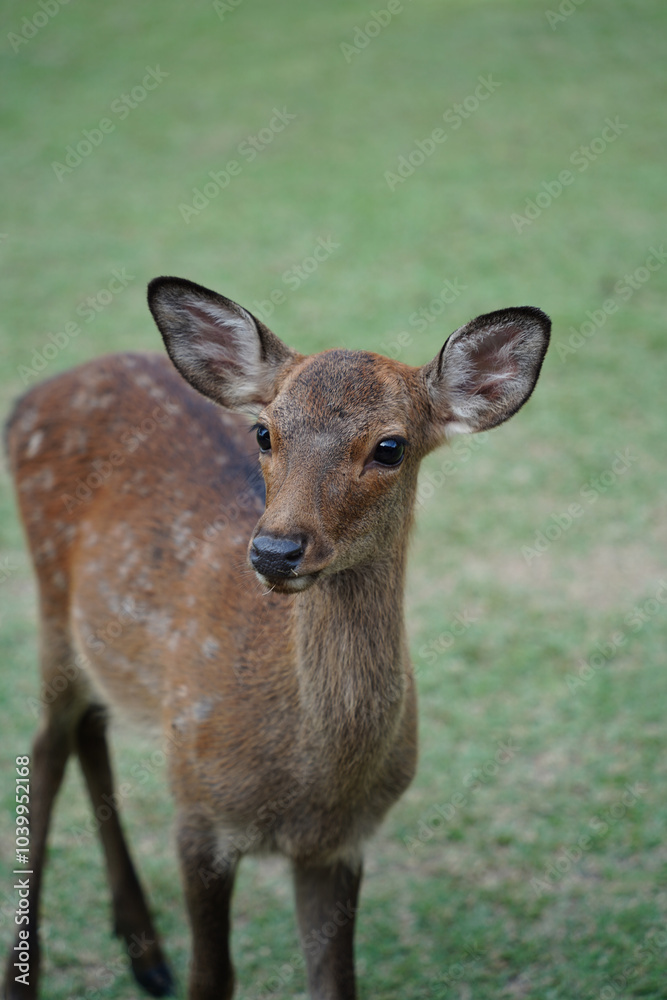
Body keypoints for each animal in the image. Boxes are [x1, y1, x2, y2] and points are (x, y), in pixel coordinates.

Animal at [3, 275, 550, 999]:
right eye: (263, 431)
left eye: (390, 446)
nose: (274, 550)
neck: (310, 783)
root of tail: (29, 397)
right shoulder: (198, 812)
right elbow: (213, 978)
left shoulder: (340, 844)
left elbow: (335, 983)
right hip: (51, 608)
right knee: (45, 748)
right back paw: (30, 974)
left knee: (89, 727)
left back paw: (145, 951)